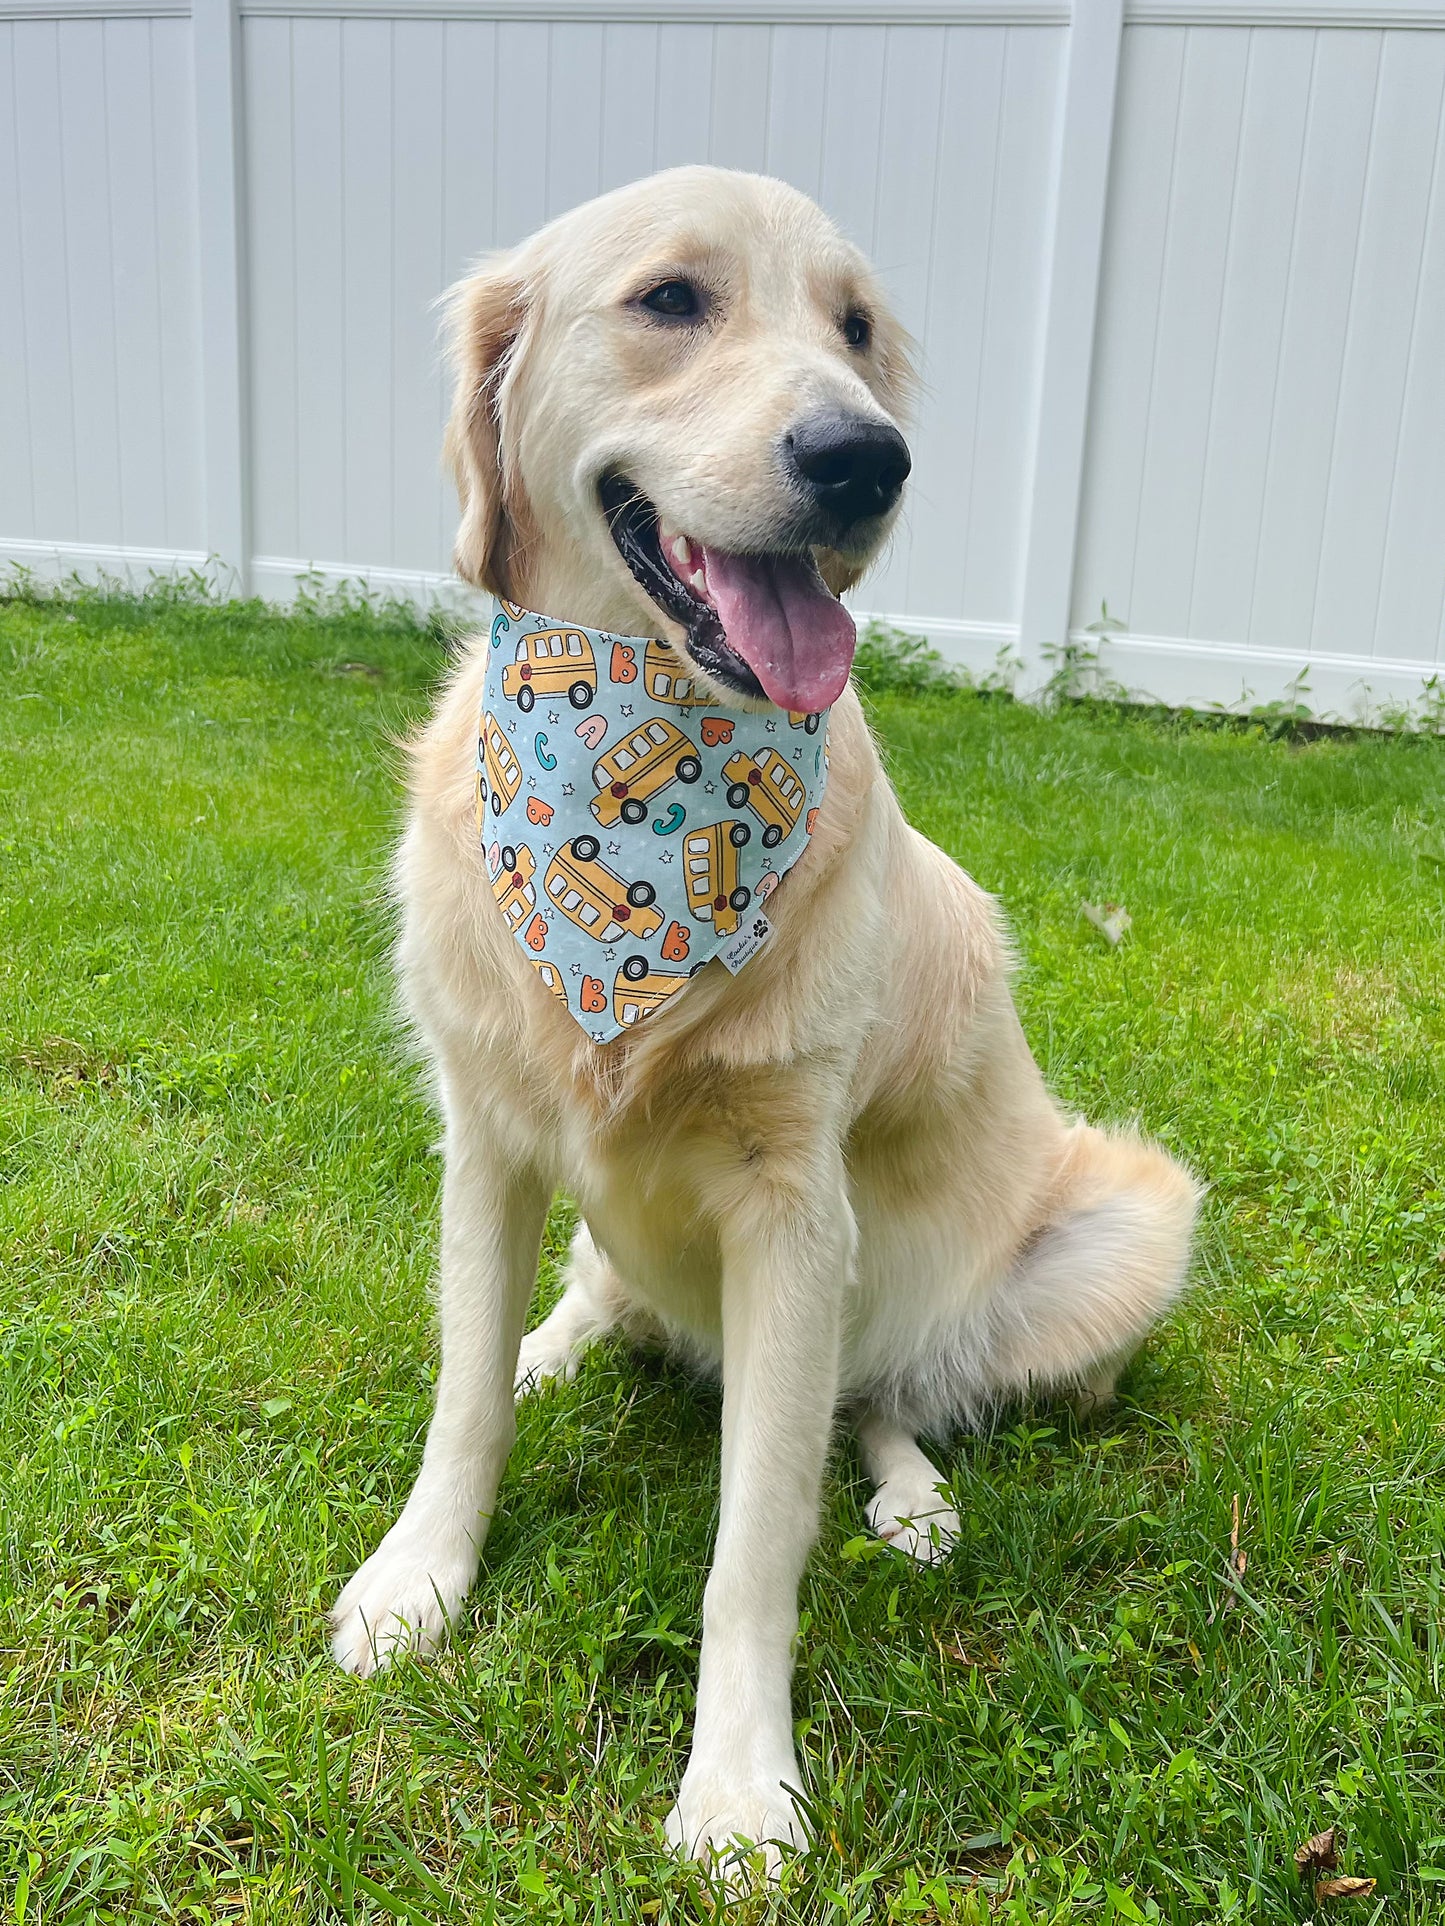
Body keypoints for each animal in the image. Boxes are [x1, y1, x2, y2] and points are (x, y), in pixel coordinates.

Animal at [331, 169, 1202, 1879]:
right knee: (597, 1299)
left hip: (1117, 1222)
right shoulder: (484, 1140)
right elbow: (462, 1402)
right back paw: (558, 1343)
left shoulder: (795, 1210)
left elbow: (755, 1545)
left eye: (856, 328)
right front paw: (421, 1575)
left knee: (887, 1396)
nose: (866, 456)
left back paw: (914, 1493)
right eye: (672, 299)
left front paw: (736, 1781)